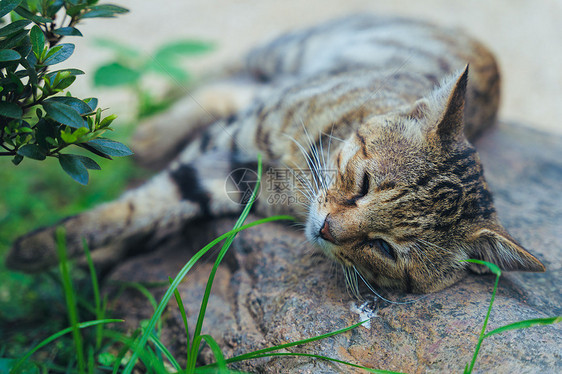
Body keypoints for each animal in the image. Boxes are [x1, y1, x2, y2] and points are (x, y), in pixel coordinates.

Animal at [7, 14, 544, 294]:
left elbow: (147, 211)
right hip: (289, 50)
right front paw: (38, 249)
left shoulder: (225, 182)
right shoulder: (224, 145)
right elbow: (131, 208)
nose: (326, 229)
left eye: (386, 249)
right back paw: (145, 134)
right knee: (222, 75)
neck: (300, 173)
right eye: (365, 183)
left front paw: (58, 253)